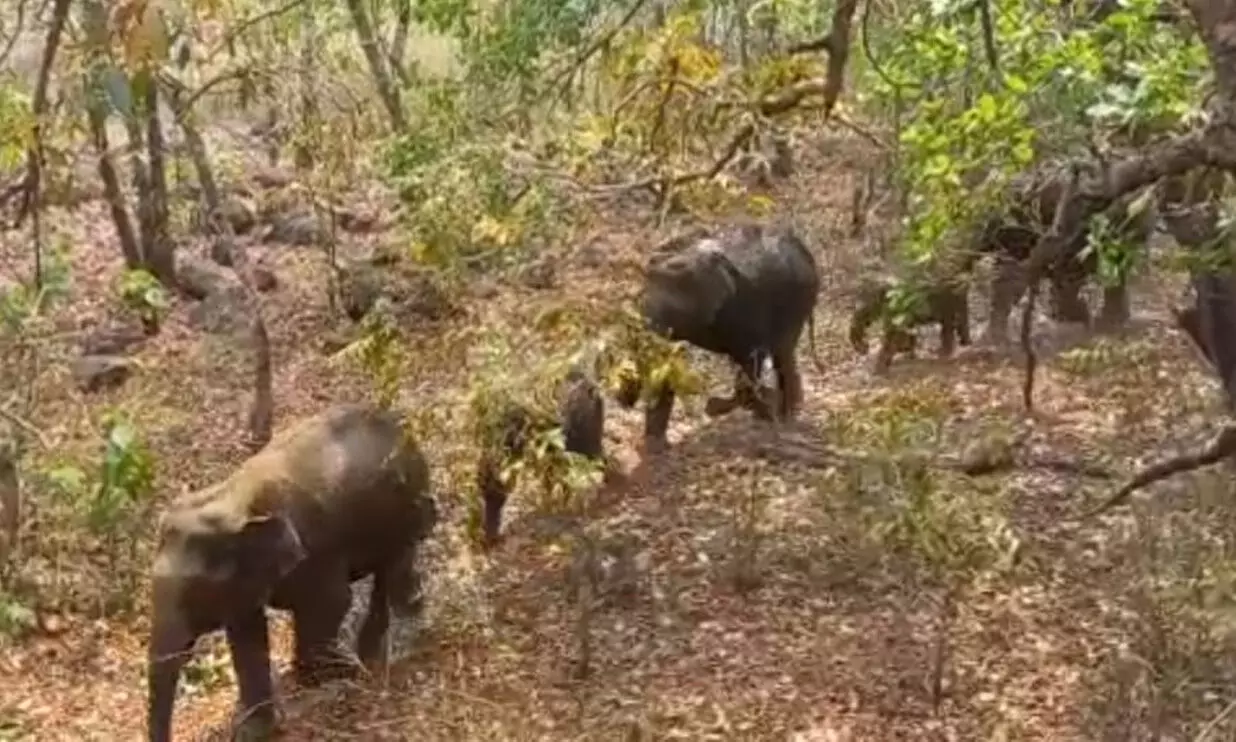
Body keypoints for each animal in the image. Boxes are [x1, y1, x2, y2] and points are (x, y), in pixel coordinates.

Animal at [146, 403, 439, 742]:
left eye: (195, 594)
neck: (232, 500)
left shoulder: (317, 551)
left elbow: (332, 602)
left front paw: (327, 676)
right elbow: (246, 635)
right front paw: (254, 728)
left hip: (409, 504)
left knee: (397, 564)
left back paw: (396, 645)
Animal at [614, 221, 822, 451]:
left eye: (677, 307)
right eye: (642, 293)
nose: (622, 399)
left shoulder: (743, 309)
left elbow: (750, 361)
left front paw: (715, 408)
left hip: (798, 300)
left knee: (782, 355)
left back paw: (783, 417)